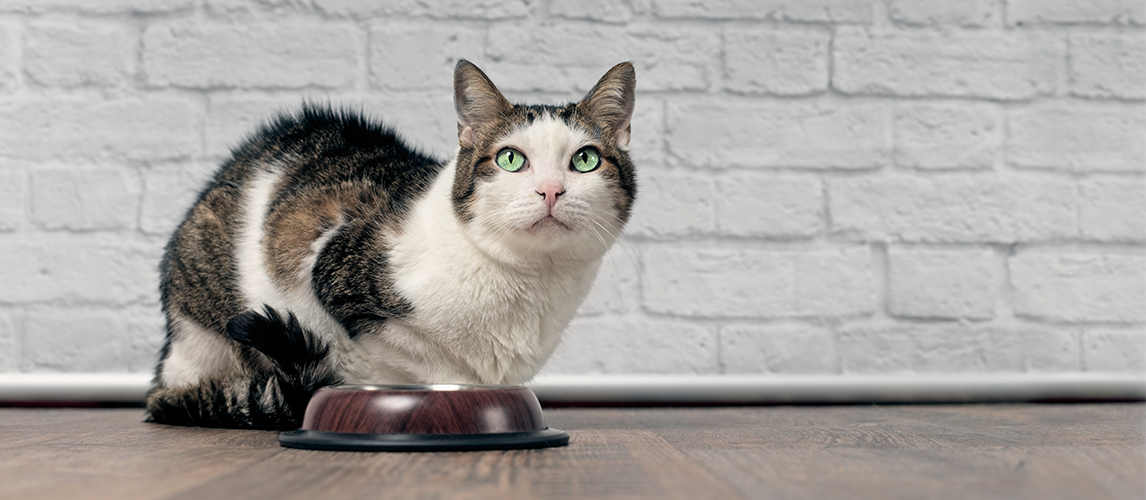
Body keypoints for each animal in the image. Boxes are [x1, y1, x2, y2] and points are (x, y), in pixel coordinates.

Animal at [143, 60, 637, 428]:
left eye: (585, 160)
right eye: (511, 159)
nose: (551, 190)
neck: (529, 280)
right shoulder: (331, 272)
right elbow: (421, 362)